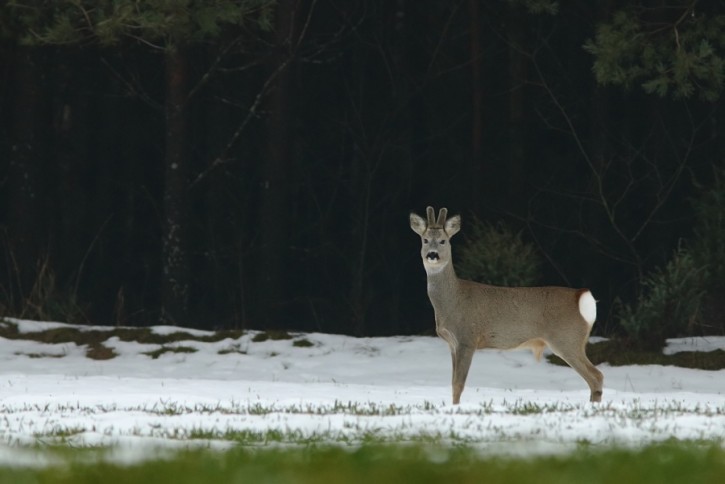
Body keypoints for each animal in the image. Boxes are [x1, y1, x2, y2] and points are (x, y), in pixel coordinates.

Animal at [410, 206, 604, 402]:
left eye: (443, 241)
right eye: (425, 240)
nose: (432, 255)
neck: (452, 301)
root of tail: (580, 296)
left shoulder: (467, 338)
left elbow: (458, 384)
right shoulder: (452, 344)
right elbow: (452, 383)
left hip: (567, 339)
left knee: (596, 376)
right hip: (573, 341)